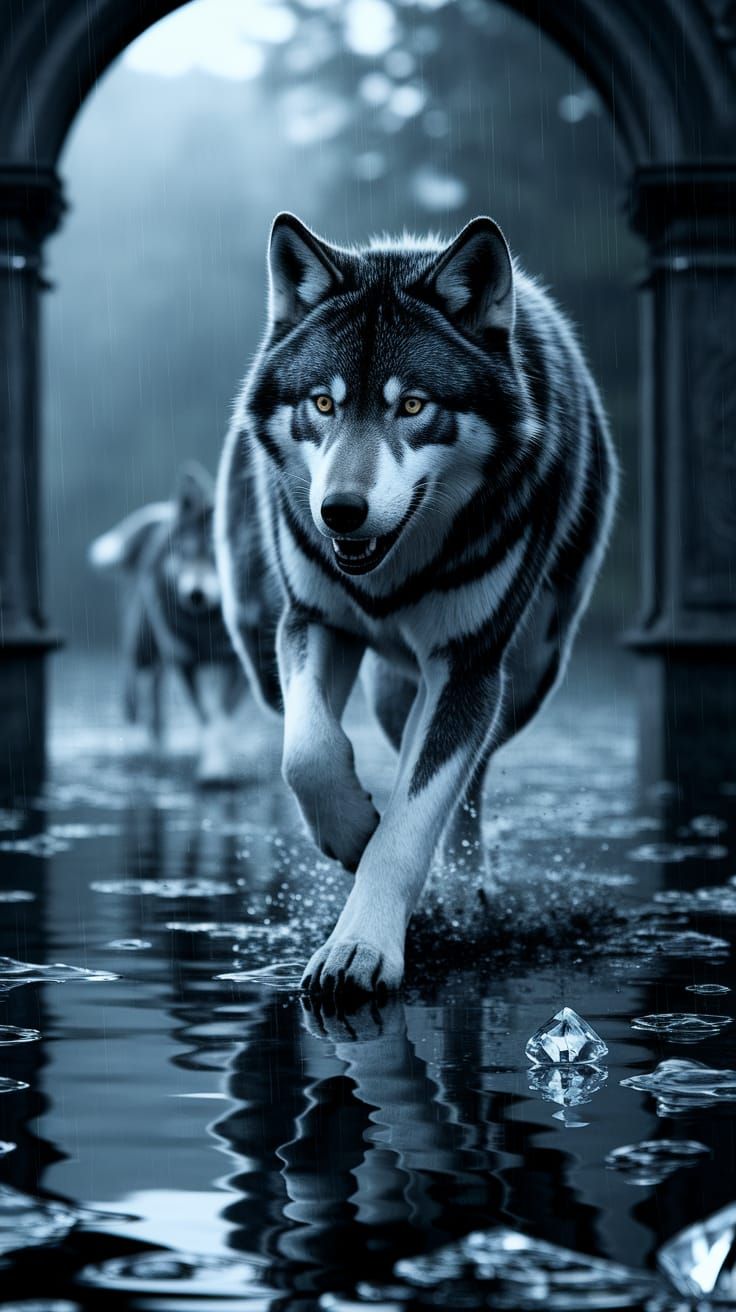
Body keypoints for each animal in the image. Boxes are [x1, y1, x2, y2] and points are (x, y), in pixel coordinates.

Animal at [90, 463, 246, 783]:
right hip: (143, 650)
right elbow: (206, 716)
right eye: (186, 552)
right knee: (136, 700)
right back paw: (143, 746)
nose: (196, 595)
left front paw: (218, 764)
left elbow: (221, 715)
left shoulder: (242, 667)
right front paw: (212, 767)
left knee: (157, 706)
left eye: (218, 555)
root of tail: (162, 517)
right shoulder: (185, 663)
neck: (208, 627)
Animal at [215, 213, 618, 996]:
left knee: (469, 780)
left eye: (411, 405)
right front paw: (348, 832)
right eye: (323, 403)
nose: (340, 512)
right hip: (376, 684)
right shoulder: (313, 623)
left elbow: (411, 819)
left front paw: (360, 948)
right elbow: (307, 753)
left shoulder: (467, 665)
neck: (391, 577)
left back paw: (461, 899)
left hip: (520, 677)